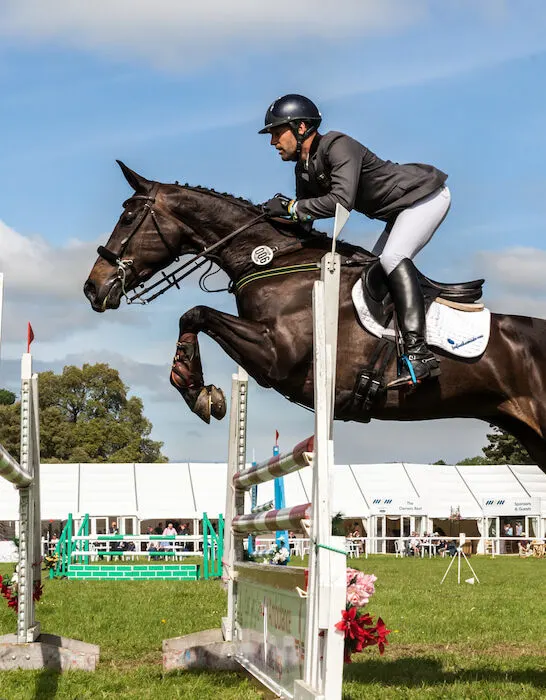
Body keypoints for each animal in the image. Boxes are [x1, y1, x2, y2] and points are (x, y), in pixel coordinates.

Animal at [83, 161, 544, 474]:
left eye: (127, 217)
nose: (92, 287)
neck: (273, 260)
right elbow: (194, 317)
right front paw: (198, 389)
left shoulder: (276, 356)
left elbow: (195, 313)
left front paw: (197, 389)